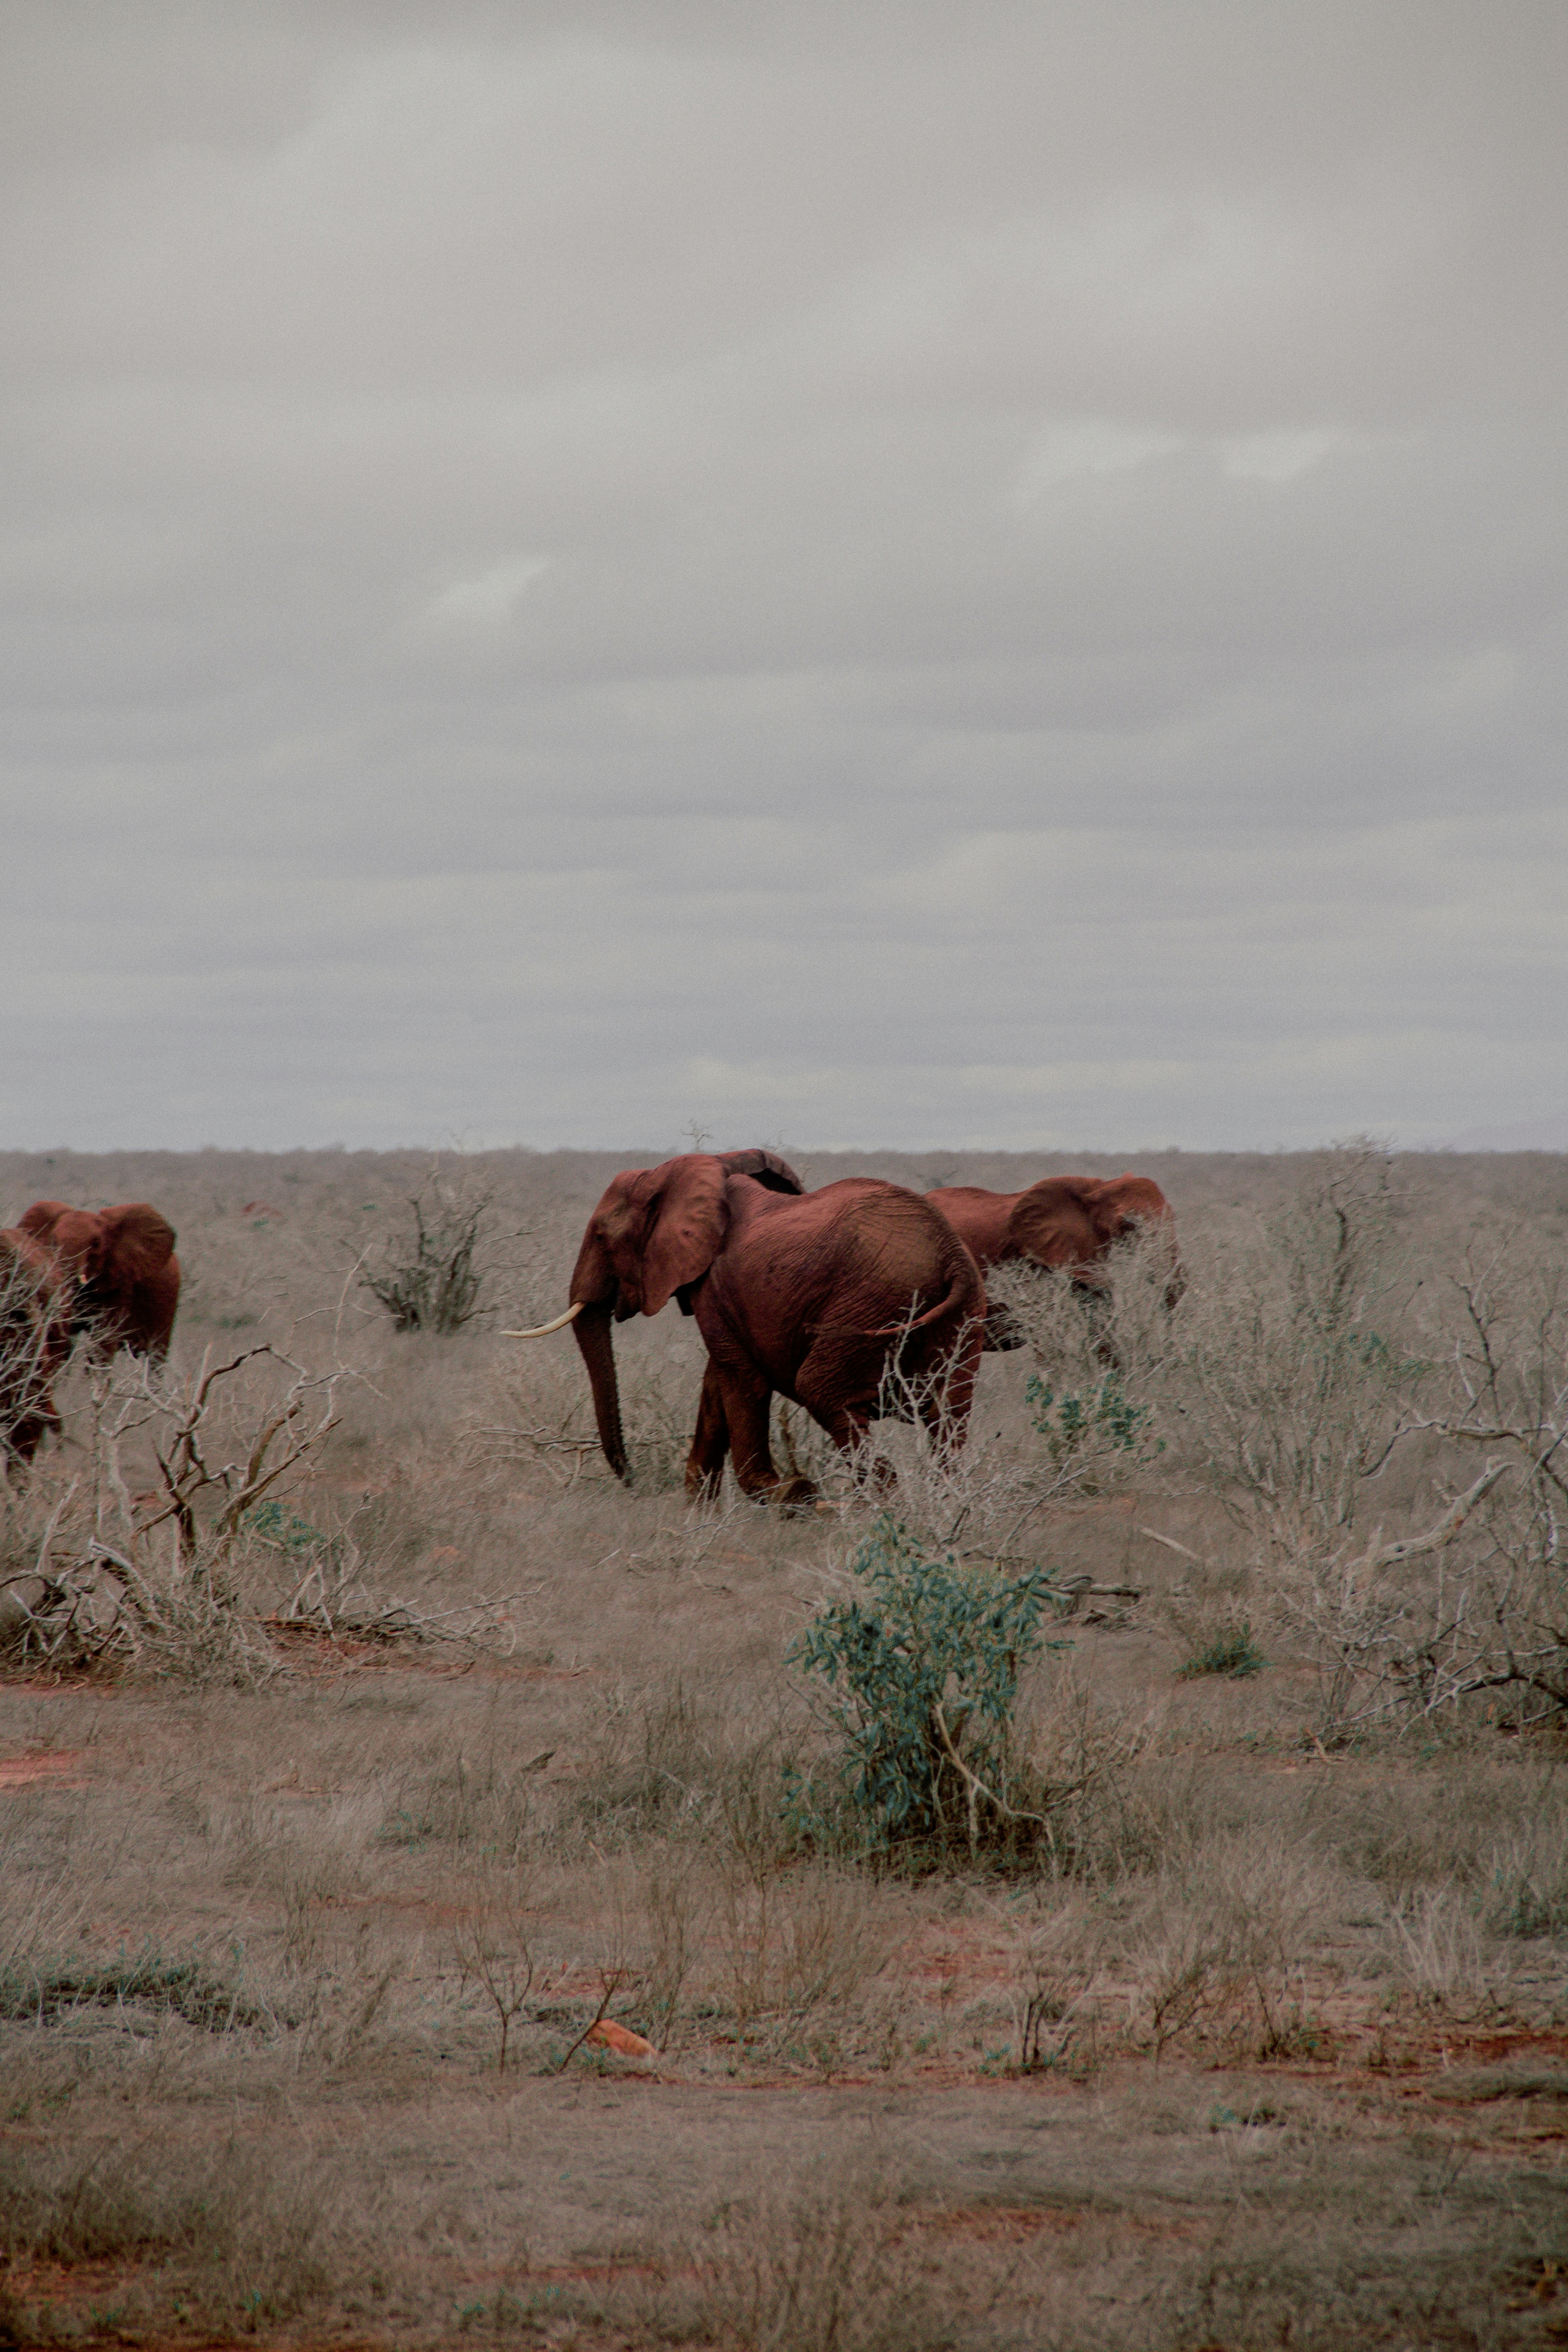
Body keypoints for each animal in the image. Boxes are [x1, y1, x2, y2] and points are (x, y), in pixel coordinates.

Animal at [509, 1150, 986, 1505]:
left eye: (602, 1237)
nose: (633, 1481)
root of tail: (949, 1253)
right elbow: (716, 1384)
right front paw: (698, 1508)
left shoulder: (716, 1283)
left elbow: (741, 1381)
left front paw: (792, 1494)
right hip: (962, 1314)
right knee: (948, 1416)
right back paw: (944, 1507)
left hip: (872, 1302)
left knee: (821, 1390)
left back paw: (883, 1512)